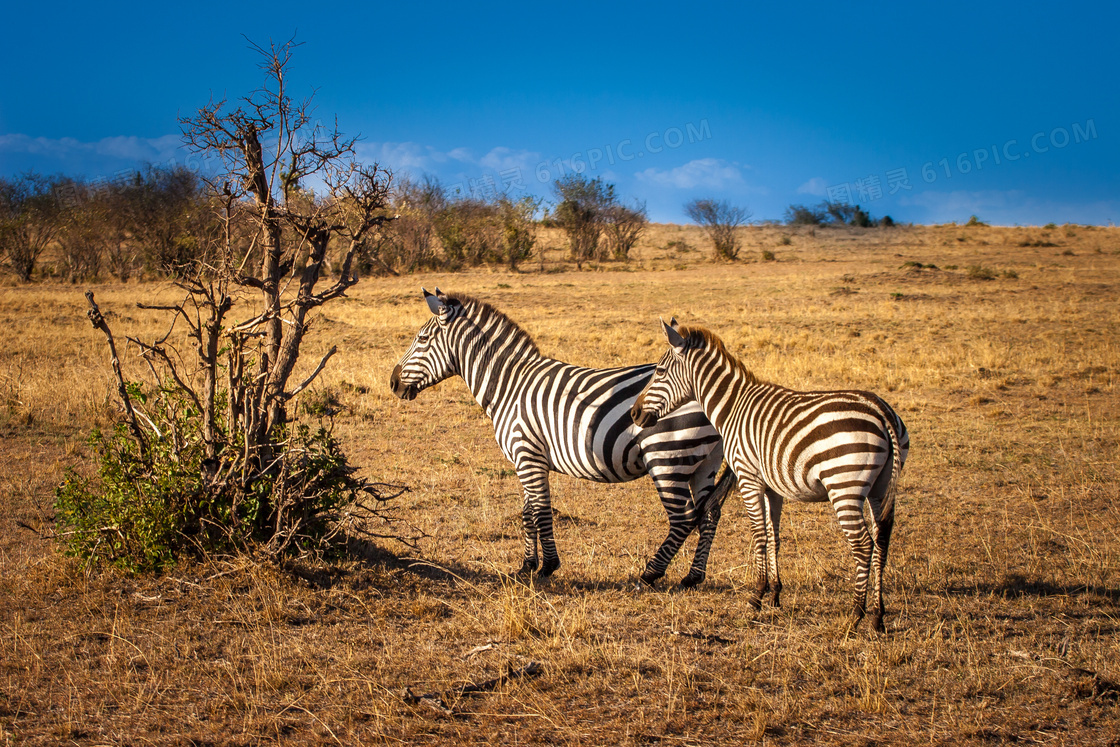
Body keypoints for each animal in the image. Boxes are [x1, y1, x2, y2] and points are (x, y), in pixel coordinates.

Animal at [387, 288, 734, 586]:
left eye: (421, 339)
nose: (392, 383)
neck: (509, 386)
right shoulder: (528, 460)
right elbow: (528, 512)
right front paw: (526, 565)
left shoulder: (527, 454)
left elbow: (541, 512)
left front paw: (548, 566)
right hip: (705, 462)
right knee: (709, 514)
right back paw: (693, 577)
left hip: (667, 457)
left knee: (684, 518)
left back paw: (650, 574)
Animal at [631, 318, 909, 636]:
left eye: (659, 372)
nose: (634, 414)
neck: (732, 408)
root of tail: (881, 410)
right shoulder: (771, 486)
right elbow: (774, 536)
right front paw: (774, 594)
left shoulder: (748, 478)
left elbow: (759, 535)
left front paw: (756, 597)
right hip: (880, 487)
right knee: (882, 541)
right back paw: (877, 616)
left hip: (845, 487)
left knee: (863, 545)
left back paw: (855, 615)